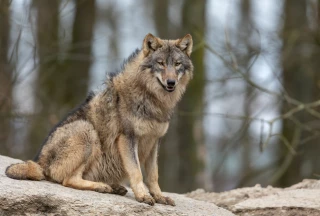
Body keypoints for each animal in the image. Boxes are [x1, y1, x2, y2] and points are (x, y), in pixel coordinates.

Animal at [5, 33, 192, 206]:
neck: (151, 98)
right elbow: (136, 171)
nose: (171, 82)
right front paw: (143, 196)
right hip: (87, 131)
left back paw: (114, 187)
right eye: (161, 63)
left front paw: (159, 196)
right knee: (68, 180)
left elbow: (153, 175)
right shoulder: (127, 138)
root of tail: (39, 162)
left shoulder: (154, 141)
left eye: (177, 64)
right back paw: (102, 187)